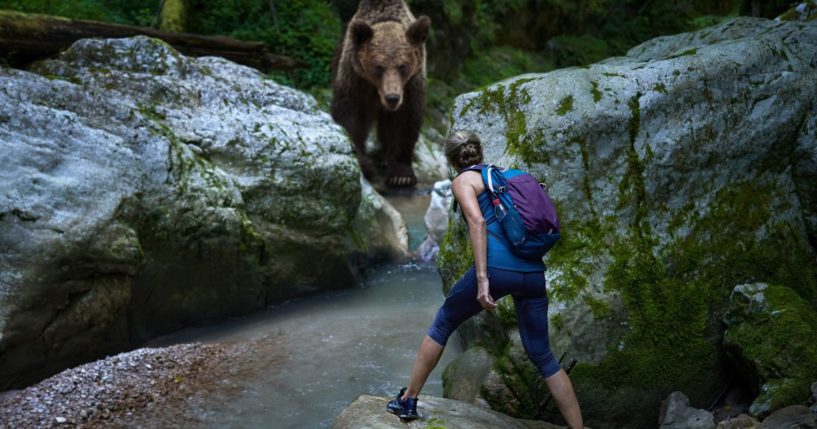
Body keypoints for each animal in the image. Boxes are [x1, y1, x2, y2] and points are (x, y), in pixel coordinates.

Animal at [330, 0, 430, 187]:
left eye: (402, 66)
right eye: (378, 67)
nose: (392, 98)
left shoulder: (410, 86)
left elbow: (405, 121)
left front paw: (401, 176)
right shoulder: (354, 79)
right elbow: (350, 117)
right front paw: (364, 164)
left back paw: (382, 157)